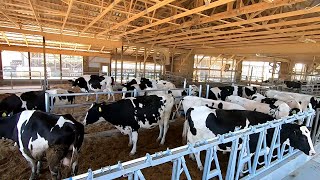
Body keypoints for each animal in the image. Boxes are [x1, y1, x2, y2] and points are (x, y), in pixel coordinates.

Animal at [185, 106, 316, 169]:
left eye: (309, 135)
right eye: (303, 138)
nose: (313, 153)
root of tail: (194, 108)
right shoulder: (250, 148)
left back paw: (191, 157)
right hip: (197, 140)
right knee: (196, 152)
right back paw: (200, 165)